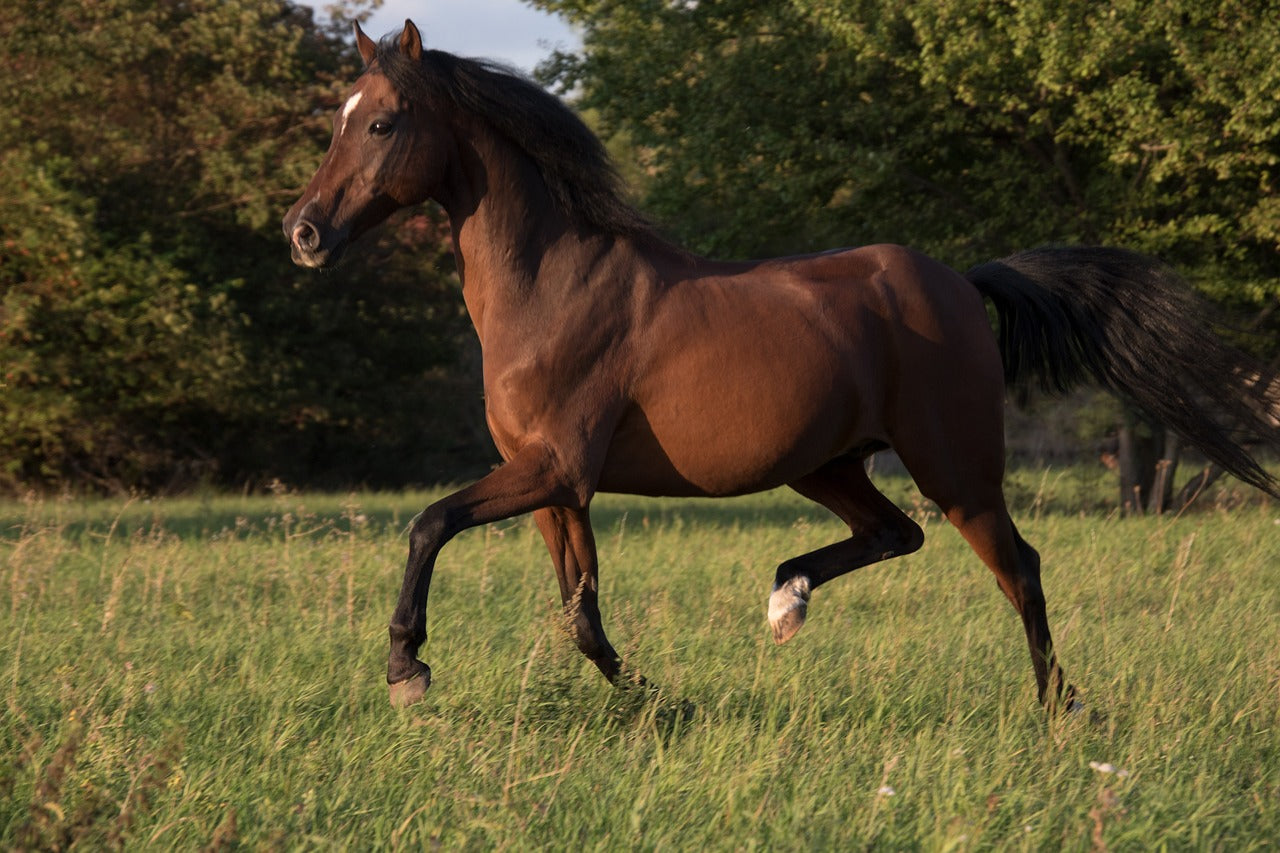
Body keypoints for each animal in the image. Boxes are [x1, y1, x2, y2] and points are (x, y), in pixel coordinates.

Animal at [288, 21, 1280, 712]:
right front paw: (659, 704)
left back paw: (1061, 707)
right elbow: (580, 612)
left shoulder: (554, 468)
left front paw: (406, 668)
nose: (304, 232)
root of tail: (961, 280)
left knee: (1019, 567)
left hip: (956, 468)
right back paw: (786, 599)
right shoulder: (555, 488)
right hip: (828, 464)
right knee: (895, 534)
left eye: (381, 122)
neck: (553, 284)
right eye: (339, 120)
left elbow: (430, 523)